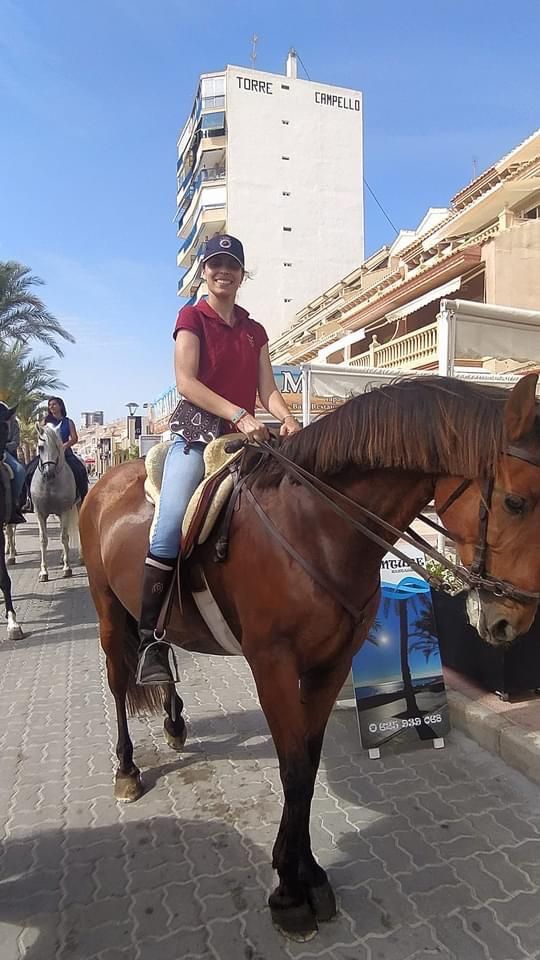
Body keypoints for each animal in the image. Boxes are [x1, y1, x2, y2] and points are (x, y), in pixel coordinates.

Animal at [30, 428, 81, 584]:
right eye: (40, 447)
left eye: (57, 447)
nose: (49, 473)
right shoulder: (40, 513)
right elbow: (43, 539)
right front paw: (43, 572)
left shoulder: (64, 511)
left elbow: (64, 537)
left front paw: (67, 568)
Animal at [80, 374, 540, 936]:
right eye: (516, 502)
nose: (511, 620)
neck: (316, 526)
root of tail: (107, 480)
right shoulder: (273, 666)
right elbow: (294, 767)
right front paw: (289, 890)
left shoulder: (332, 663)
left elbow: (310, 763)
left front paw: (311, 876)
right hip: (107, 612)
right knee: (118, 683)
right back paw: (126, 769)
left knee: (162, 655)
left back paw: (174, 723)